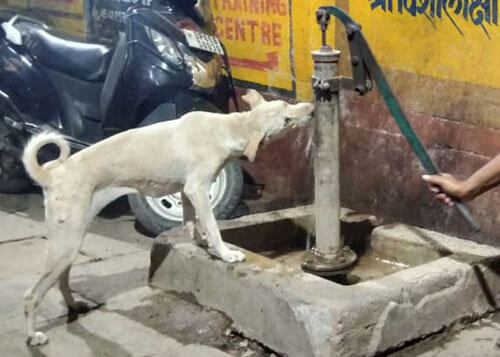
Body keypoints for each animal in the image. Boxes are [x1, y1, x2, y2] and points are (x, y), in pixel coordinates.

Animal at [22, 87, 312, 344]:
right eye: (286, 120)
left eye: (285, 106)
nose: (310, 108)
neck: (233, 126)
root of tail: (51, 175)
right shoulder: (197, 188)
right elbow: (212, 225)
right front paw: (225, 253)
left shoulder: (186, 190)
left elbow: (191, 221)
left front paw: (200, 242)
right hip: (66, 243)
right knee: (32, 295)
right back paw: (33, 336)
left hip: (70, 242)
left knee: (61, 280)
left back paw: (73, 304)